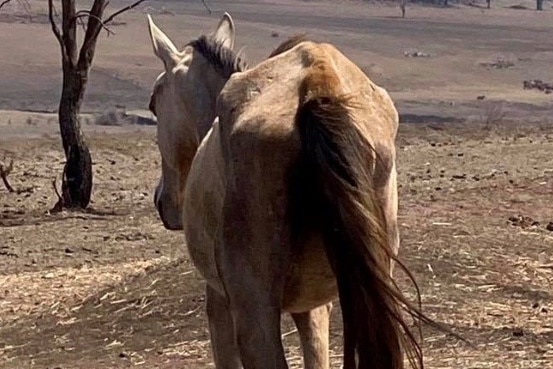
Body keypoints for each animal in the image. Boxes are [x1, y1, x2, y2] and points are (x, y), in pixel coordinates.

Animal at [149, 12, 434, 368]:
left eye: (154, 102)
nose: (162, 201)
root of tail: (317, 85)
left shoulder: (219, 303)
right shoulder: (314, 309)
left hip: (255, 314)